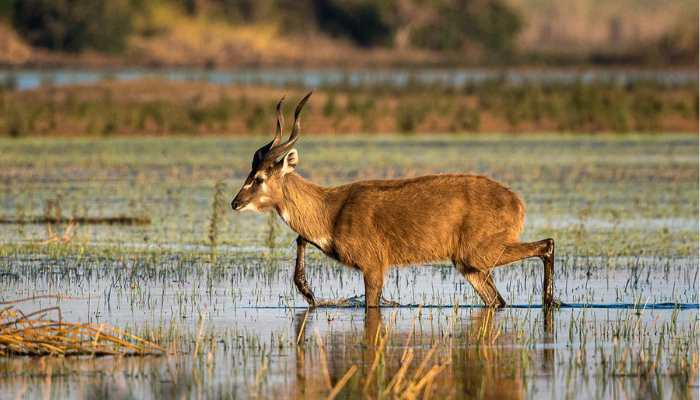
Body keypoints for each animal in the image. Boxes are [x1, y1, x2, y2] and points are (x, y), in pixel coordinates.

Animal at [232, 92, 556, 308]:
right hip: (468, 264)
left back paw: (550, 301)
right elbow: (301, 239)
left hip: (480, 253)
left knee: (547, 245)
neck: (332, 210)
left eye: (259, 177)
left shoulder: (374, 266)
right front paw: (308, 292)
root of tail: (516, 202)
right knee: (498, 300)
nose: (236, 202)